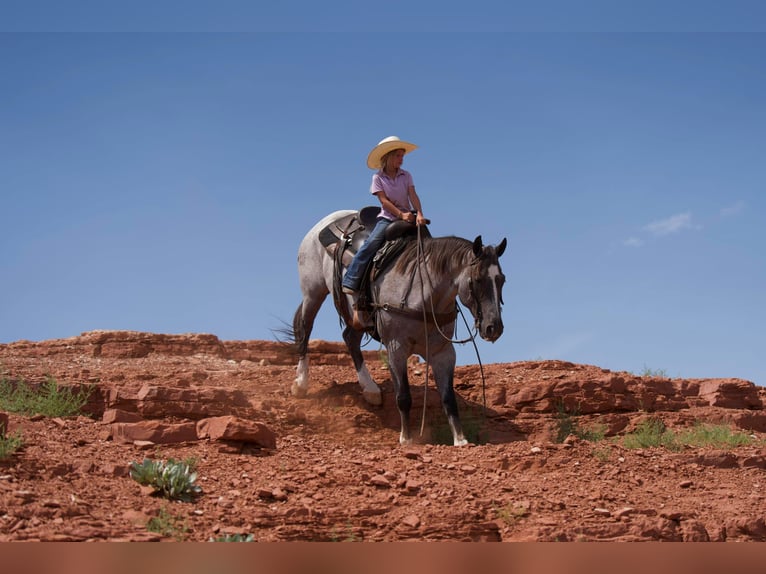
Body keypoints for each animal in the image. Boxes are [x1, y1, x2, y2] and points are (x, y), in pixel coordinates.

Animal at [290, 209, 507, 446]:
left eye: (502, 280)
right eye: (476, 280)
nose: (493, 327)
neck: (424, 296)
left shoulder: (443, 352)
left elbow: (448, 398)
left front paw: (460, 440)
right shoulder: (396, 348)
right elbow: (403, 396)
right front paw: (407, 439)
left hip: (357, 315)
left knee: (349, 338)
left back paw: (371, 390)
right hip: (313, 292)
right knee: (304, 327)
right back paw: (301, 383)